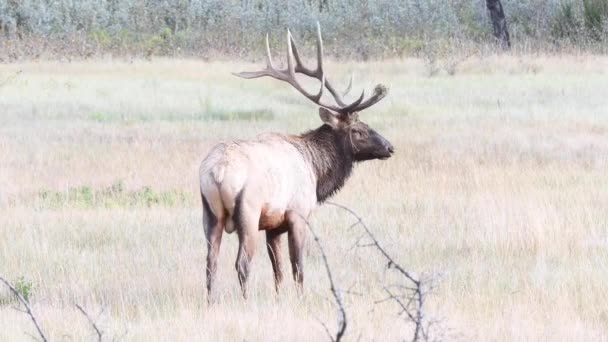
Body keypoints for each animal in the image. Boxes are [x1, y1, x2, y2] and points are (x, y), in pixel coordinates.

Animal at [197, 24, 392, 300]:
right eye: (358, 130)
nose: (389, 147)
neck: (316, 171)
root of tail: (217, 171)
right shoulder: (298, 214)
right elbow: (297, 266)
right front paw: (301, 299)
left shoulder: (272, 226)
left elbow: (277, 271)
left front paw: (280, 299)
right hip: (248, 211)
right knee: (242, 263)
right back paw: (245, 301)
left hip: (209, 213)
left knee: (210, 264)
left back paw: (211, 302)